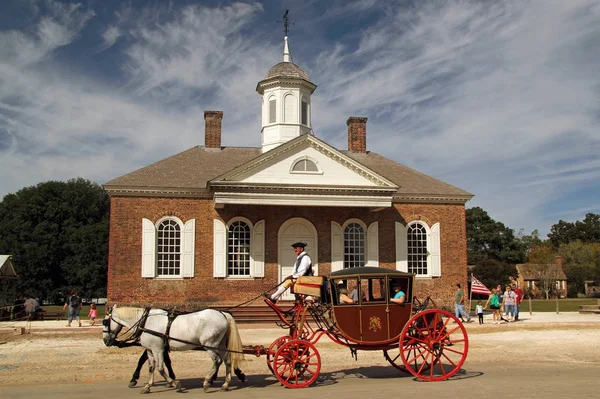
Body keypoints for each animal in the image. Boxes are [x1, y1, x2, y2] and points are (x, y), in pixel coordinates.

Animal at [103, 306, 246, 394]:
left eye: (105, 322)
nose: (105, 341)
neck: (145, 322)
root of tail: (222, 313)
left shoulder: (158, 349)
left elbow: (160, 368)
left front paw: (174, 383)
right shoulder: (150, 350)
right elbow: (151, 368)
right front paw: (147, 386)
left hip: (209, 344)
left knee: (217, 361)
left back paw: (207, 382)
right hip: (219, 344)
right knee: (227, 360)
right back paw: (225, 384)